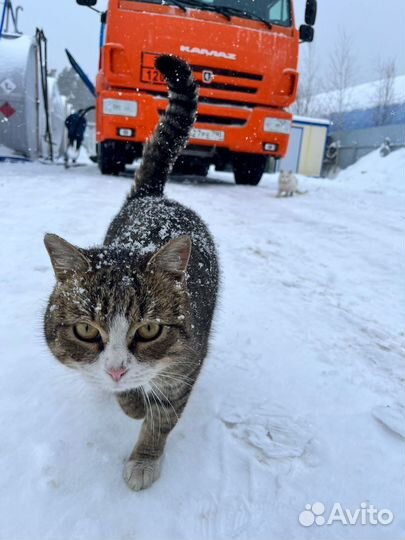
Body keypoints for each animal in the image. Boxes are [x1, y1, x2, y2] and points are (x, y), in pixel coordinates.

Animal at [43, 57, 218, 492]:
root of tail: (153, 197)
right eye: (86, 330)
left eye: (150, 330)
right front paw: (131, 402)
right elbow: (121, 392)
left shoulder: (186, 365)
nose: (118, 369)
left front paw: (145, 457)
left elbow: (162, 416)